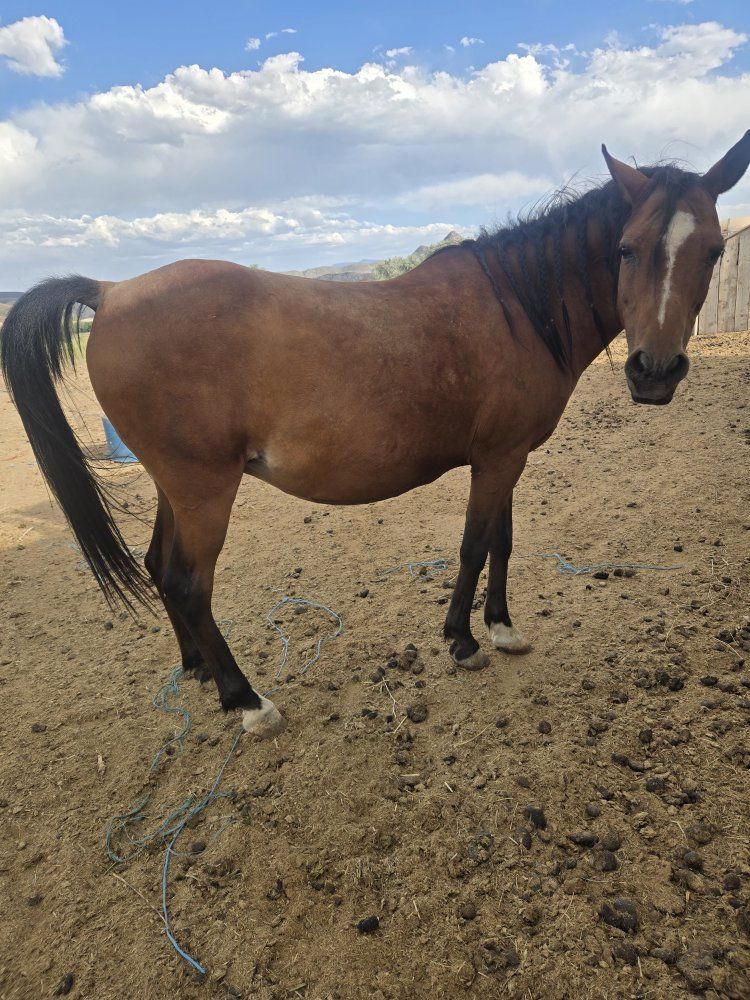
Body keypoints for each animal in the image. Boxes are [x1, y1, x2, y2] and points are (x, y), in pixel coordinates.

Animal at [3, 133, 749, 738]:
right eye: (626, 249)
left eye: (713, 251)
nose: (654, 372)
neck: (517, 305)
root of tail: (110, 290)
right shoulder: (497, 458)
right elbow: (474, 545)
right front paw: (462, 641)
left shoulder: (505, 458)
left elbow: (501, 542)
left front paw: (502, 629)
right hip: (203, 488)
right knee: (188, 582)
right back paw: (248, 702)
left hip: (174, 486)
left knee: (160, 566)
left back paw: (201, 672)